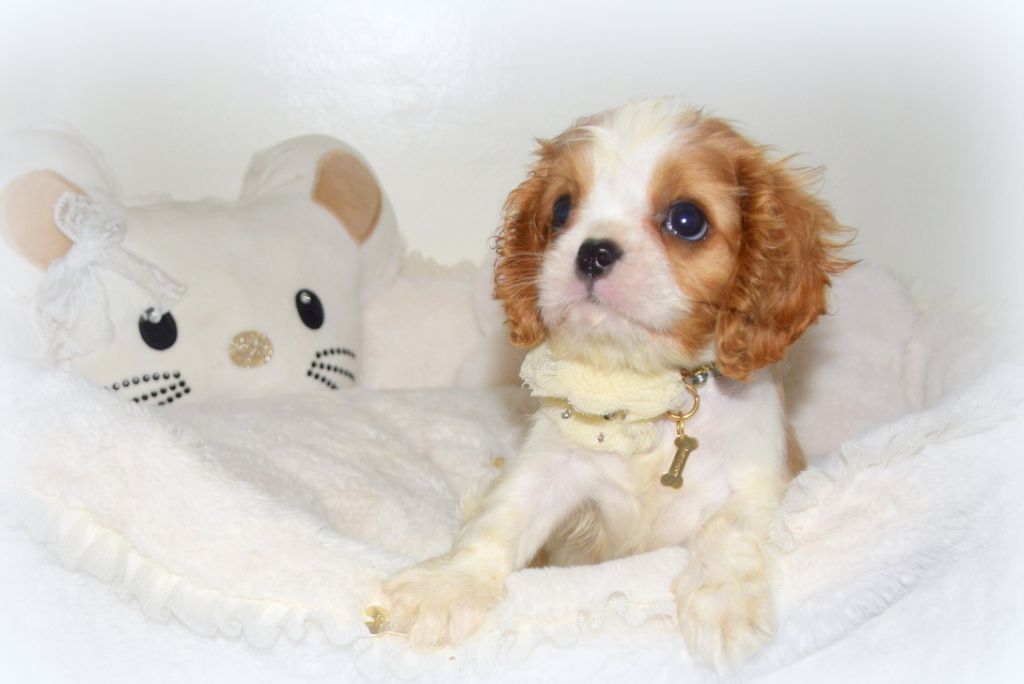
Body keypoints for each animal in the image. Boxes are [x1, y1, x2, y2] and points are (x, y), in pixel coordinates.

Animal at [380, 98, 851, 670]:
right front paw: (449, 584)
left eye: (687, 220)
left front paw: (724, 604)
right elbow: (502, 516)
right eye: (562, 209)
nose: (593, 252)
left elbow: (728, 528)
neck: (653, 391)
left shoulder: (757, 478)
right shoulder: (552, 464)